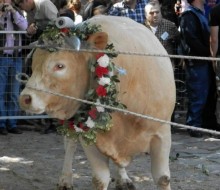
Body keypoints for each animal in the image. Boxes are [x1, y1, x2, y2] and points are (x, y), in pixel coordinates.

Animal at [19, 15, 176, 190]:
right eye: (33, 64)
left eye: (60, 66)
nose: (25, 98)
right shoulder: (89, 135)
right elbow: (100, 179)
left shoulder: (162, 132)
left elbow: (163, 178)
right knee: (70, 144)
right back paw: (66, 179)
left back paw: (123, 179)